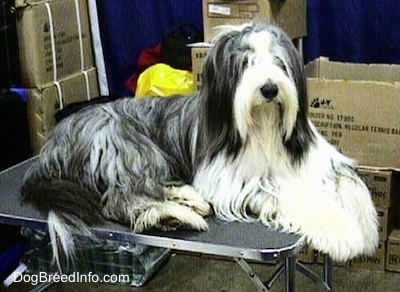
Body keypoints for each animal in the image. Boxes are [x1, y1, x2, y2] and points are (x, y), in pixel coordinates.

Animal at [21, 22, 378, 270]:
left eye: (279, 62)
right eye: (245, 64)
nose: (269, 89)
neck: (264, 126)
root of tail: (54, 141)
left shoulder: (318, 157)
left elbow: (350, 181)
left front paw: (366, 226)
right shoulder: (232, 182)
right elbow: (284, 194)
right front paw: (341, 232)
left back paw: (190, 199)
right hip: (129, 145)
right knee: (122, 198)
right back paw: (174, 215)